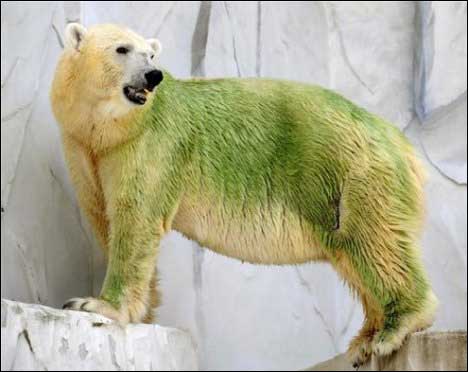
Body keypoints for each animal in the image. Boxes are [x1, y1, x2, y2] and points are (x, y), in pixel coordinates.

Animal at [49, 23, 436, 366]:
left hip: (353, 171)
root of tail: (403, 145)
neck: (109, 129)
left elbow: (135, 217)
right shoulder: (85, 148)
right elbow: (102, 215)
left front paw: (95, 305)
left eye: (151, 53)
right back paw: (365, 340)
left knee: (375, 241)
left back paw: (394, 329)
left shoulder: (151, 142)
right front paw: (147, 309)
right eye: (122, 49)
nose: (152, 76)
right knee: (354, 253)